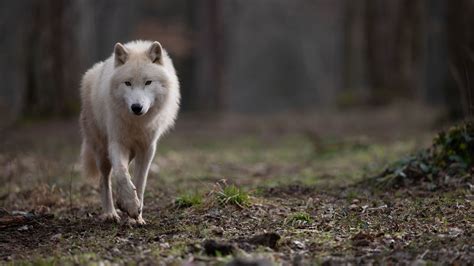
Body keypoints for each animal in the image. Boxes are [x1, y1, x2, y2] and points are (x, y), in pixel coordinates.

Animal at [79, 40, 180, 223]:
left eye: (148, 82)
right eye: (128, 83)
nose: (136, 107)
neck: (137, 123)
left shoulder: (147, 149)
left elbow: (140, 182)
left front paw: (136, 216)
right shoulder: (117, 143)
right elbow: (121, 173)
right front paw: (130, 204)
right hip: (101, 151)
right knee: (104, 180)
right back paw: (110, 213)